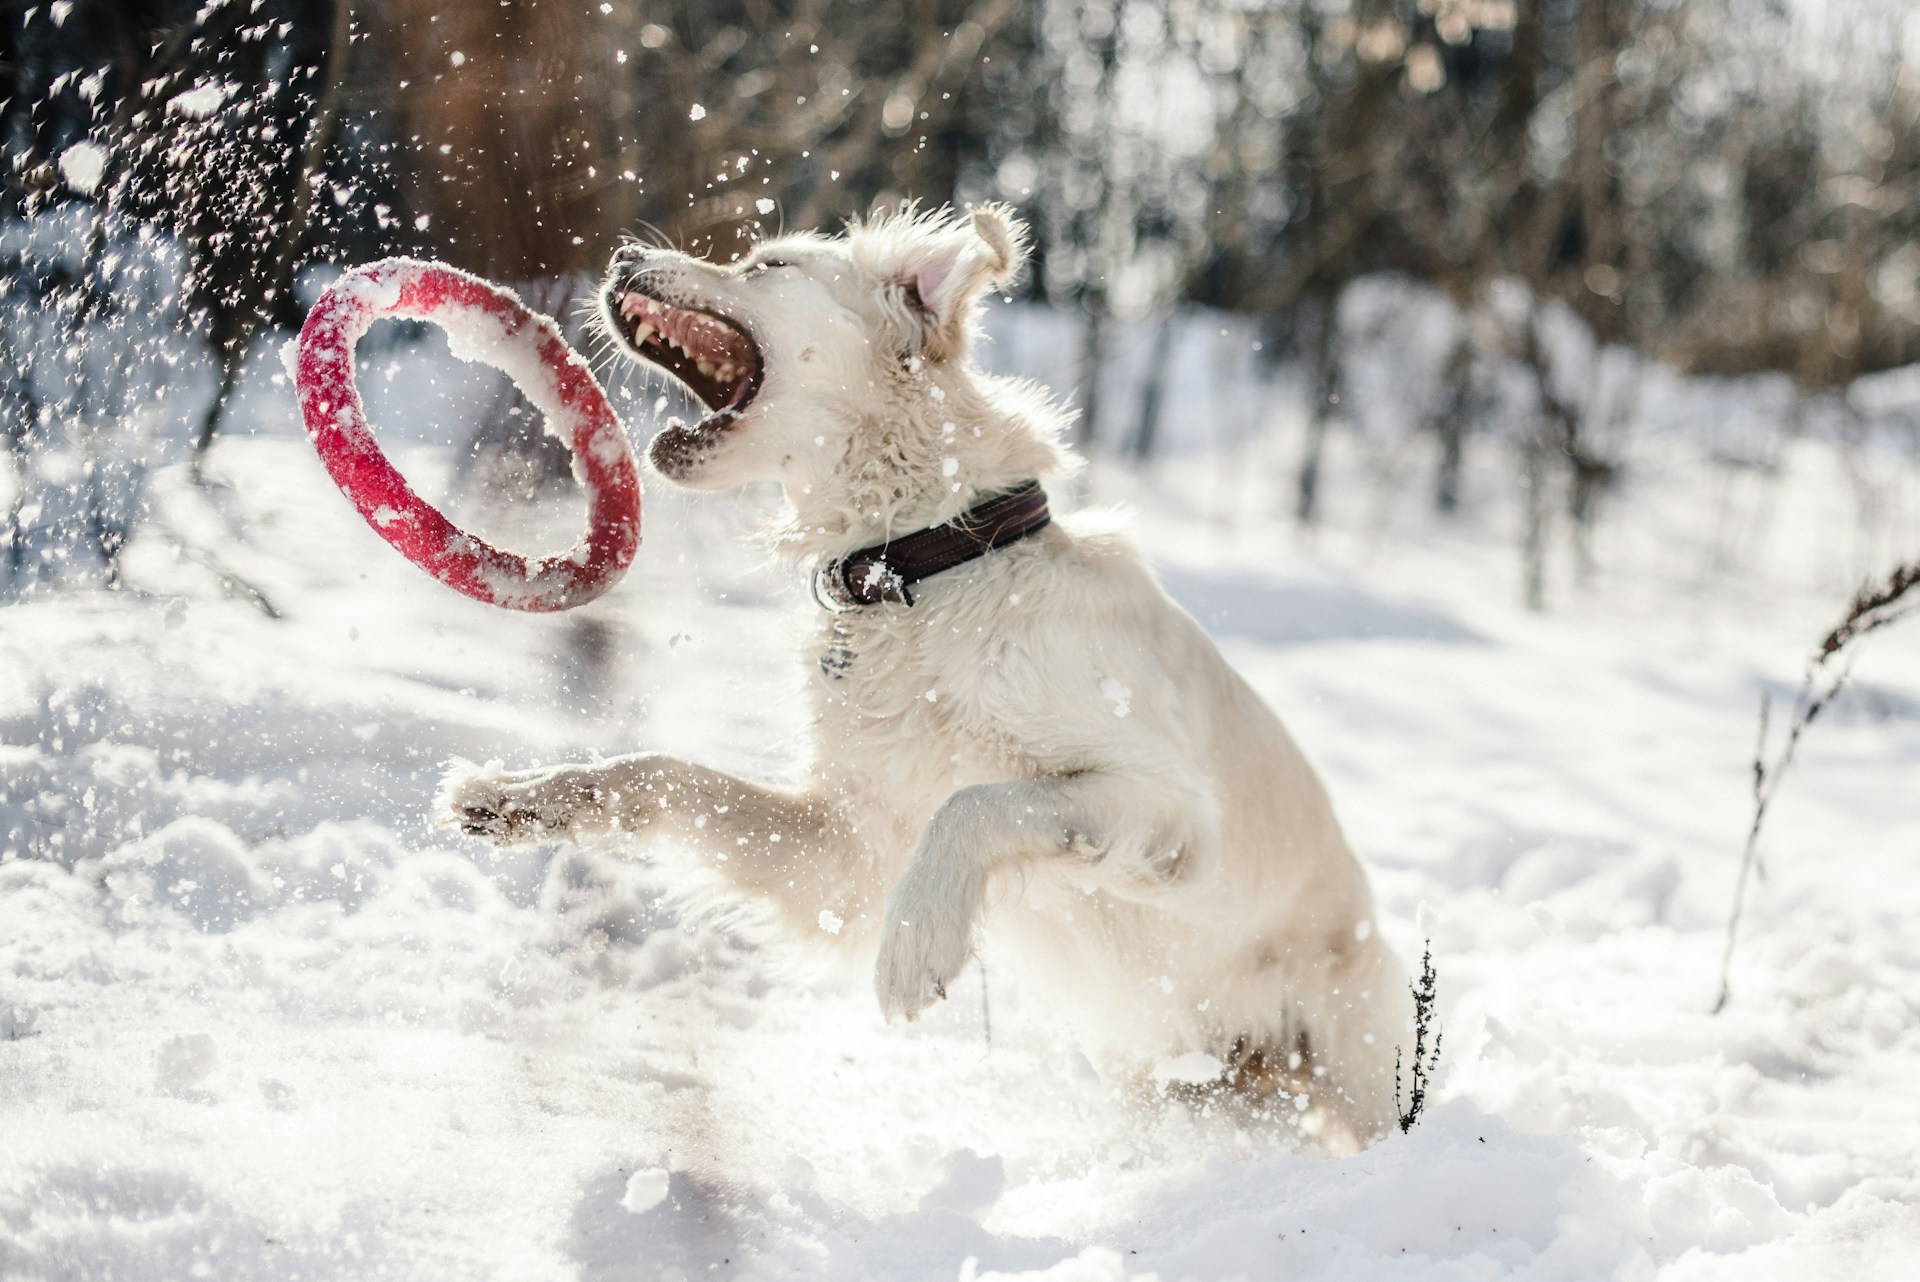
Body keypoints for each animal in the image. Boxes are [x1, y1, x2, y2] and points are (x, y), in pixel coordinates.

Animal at [449, 205, 1413, 1143]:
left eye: (769, 266)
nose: (618, 255)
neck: (929, 564)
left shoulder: (1170, 806)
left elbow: (978, 802)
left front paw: (916, 945)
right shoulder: (850, 850)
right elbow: (664, 773)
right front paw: (522, 797)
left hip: (1352, 1062)